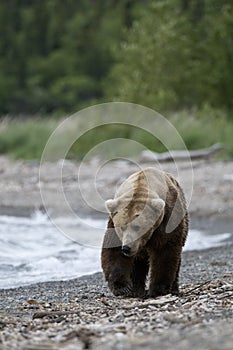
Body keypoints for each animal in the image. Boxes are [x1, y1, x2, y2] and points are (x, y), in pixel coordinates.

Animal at [101, 167, 188, 298]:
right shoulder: (113, 224)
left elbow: (164, 250)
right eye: (122, 227)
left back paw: (173, 289)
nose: (126, 248)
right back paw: (137, 289)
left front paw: (158, 289)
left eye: (137, 227)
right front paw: (123, 288)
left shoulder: (167, 218)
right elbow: (114, 251)